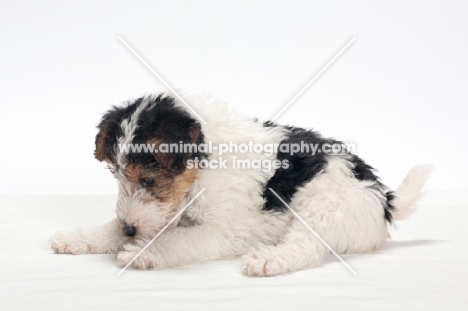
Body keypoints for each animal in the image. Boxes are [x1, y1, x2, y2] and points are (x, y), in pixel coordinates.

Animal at [49, 92, 430, 276]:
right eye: (117, 176)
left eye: (149, 178)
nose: (129, 230)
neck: (203, 169)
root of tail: (384, 198)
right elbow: (115, 229)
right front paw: (76, 239)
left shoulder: (223, 230)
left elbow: (179, 240)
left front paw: (142, 253)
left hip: (322, 210)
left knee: (306, 248)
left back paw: (267, 261)